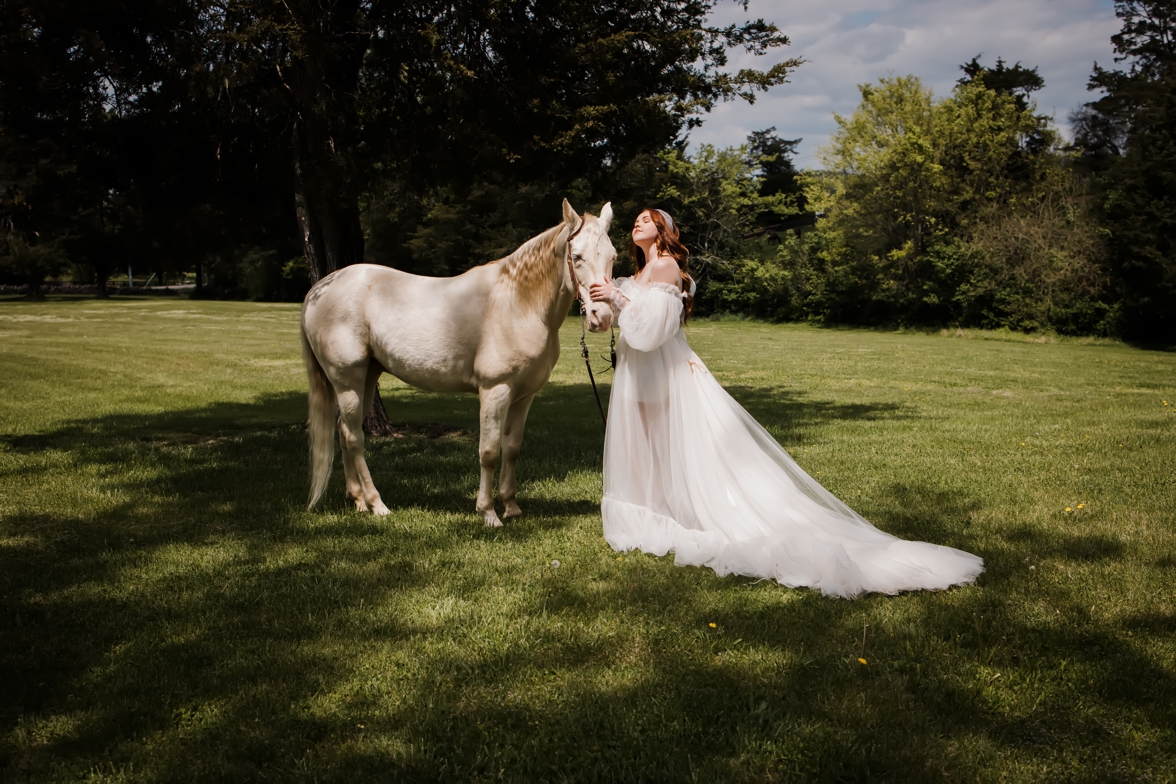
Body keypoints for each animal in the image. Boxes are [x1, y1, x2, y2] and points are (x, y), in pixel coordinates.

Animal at [301, 199, 616, 526]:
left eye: (613, 256)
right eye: (576, 257)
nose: (602, 317)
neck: (517, 303)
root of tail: (318, 290)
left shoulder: (524, 396)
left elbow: (512, 449)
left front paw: (511, 506)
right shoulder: (495, 390)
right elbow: (489, 452)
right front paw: (489, 513)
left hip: (366, 377)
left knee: (343, 431)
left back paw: (358, 501)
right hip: (347, 381)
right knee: (354, 438)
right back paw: (378, 504)